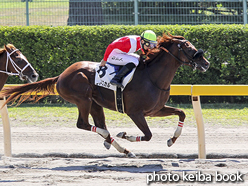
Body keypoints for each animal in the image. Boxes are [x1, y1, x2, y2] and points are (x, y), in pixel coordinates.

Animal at [0, 33, 209, 157]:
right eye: (188, 47)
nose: (206, 63)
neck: (152, 76)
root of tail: (61, 75)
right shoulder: (135, 112)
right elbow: (148, 135)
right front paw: (126, 135)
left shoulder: (155, 110)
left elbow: (182, 113)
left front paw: (172, 140)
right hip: (82, 98)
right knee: (84, 124)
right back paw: (113, 139)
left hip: (95, 103)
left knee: (98, 124)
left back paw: (120, 147)